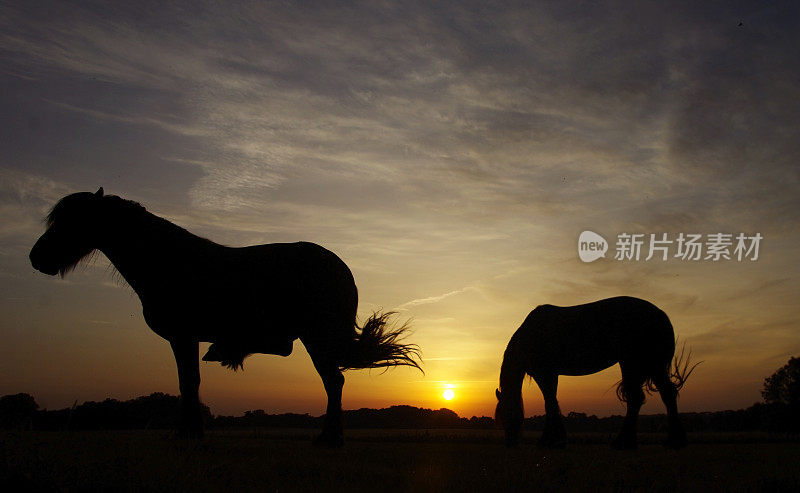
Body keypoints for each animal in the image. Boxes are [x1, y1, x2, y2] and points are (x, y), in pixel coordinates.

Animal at [28, 188, 422, 446]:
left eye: (73, 221)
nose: (36, 258)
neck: (167, 261)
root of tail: (342, 268)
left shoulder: (182, 336)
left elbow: (189, 383)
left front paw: (189, 432)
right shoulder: (184, 338)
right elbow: (189, 383)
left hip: (315, 337)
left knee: (334, 382)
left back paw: (329, 438)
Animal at [494, 296, 692, 450]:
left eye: (505, 415)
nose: (510, 442)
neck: (529, 337)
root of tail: (661, 315)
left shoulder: (544, 372)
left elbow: (549, 403)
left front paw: (550, 441)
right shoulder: (550, 373)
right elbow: (552, 401)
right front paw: (555, 439)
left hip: (632, 362)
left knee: (636, 397)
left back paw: (623, 442)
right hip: (652, 366)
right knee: (666, 394)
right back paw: (674, 441)